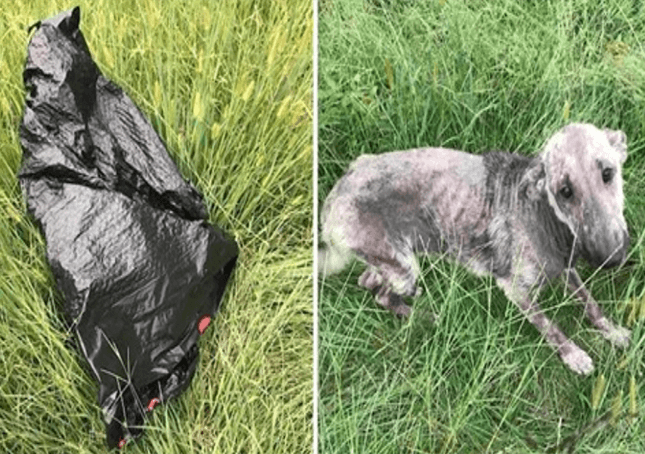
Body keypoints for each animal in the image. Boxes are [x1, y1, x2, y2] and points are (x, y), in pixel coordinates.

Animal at [320, 124, 632, 376]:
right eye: (565, 191)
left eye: (608, 173)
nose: (612, 257)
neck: (546, 218)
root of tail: (336, 193)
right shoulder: (514, 288)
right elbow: (549, 325)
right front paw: (574, 355)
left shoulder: (566, 268)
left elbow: (591, 304)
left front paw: (613, 331)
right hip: (402, 267)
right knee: (381, 294)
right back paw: (426, 317)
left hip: (395, 260)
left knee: (369, 281)